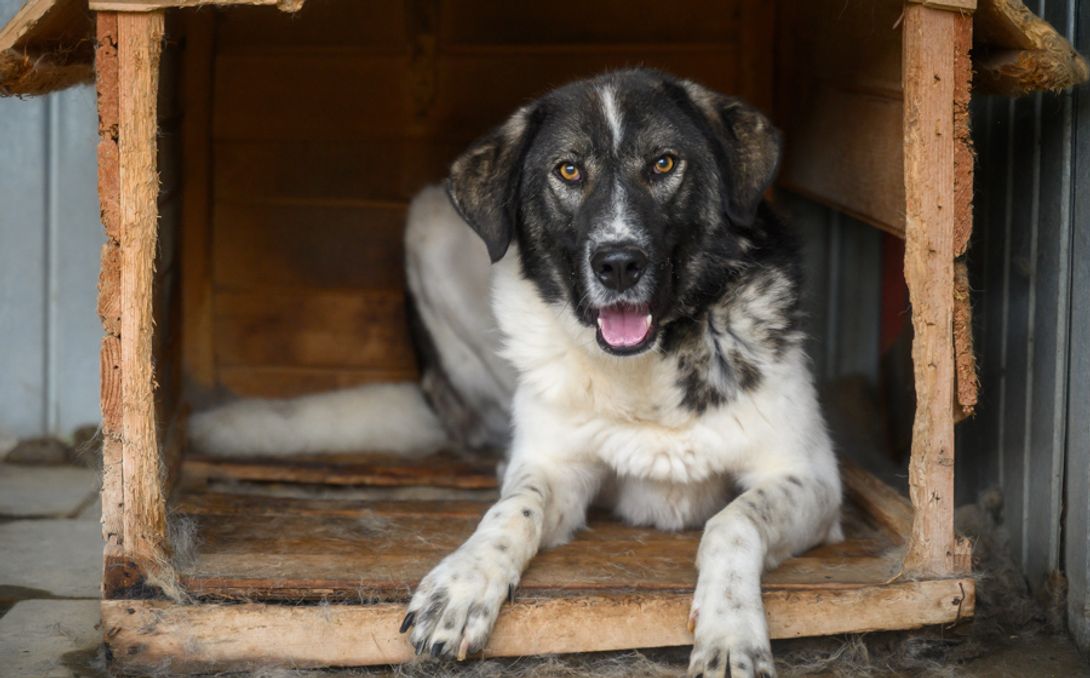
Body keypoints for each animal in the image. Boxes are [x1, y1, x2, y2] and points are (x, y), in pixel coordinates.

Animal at [191, 69, 843, 678]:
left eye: (663, 163)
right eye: (569, 171)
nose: (618, 263)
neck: (643, 365)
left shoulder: (813, 480)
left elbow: (733, 522)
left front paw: (731, 632)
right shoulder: (555, 464)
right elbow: (512, 508)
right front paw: (463, 583)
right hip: (429, 225)